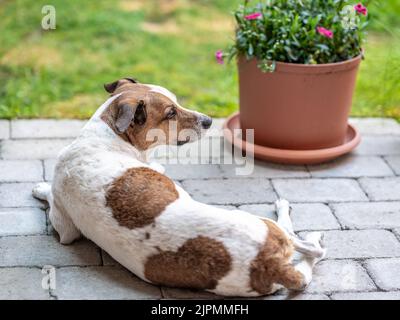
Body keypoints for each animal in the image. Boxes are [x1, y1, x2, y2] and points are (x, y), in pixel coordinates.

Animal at [32, 78, 326, 298]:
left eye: (176, 101)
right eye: (170, 113)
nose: (209, 121)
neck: (106, 138)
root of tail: (268, 262)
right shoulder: (65, 230)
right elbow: (50, 195)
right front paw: (41, 187)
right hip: (261, 223)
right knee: (310, 247)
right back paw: (295, 219)